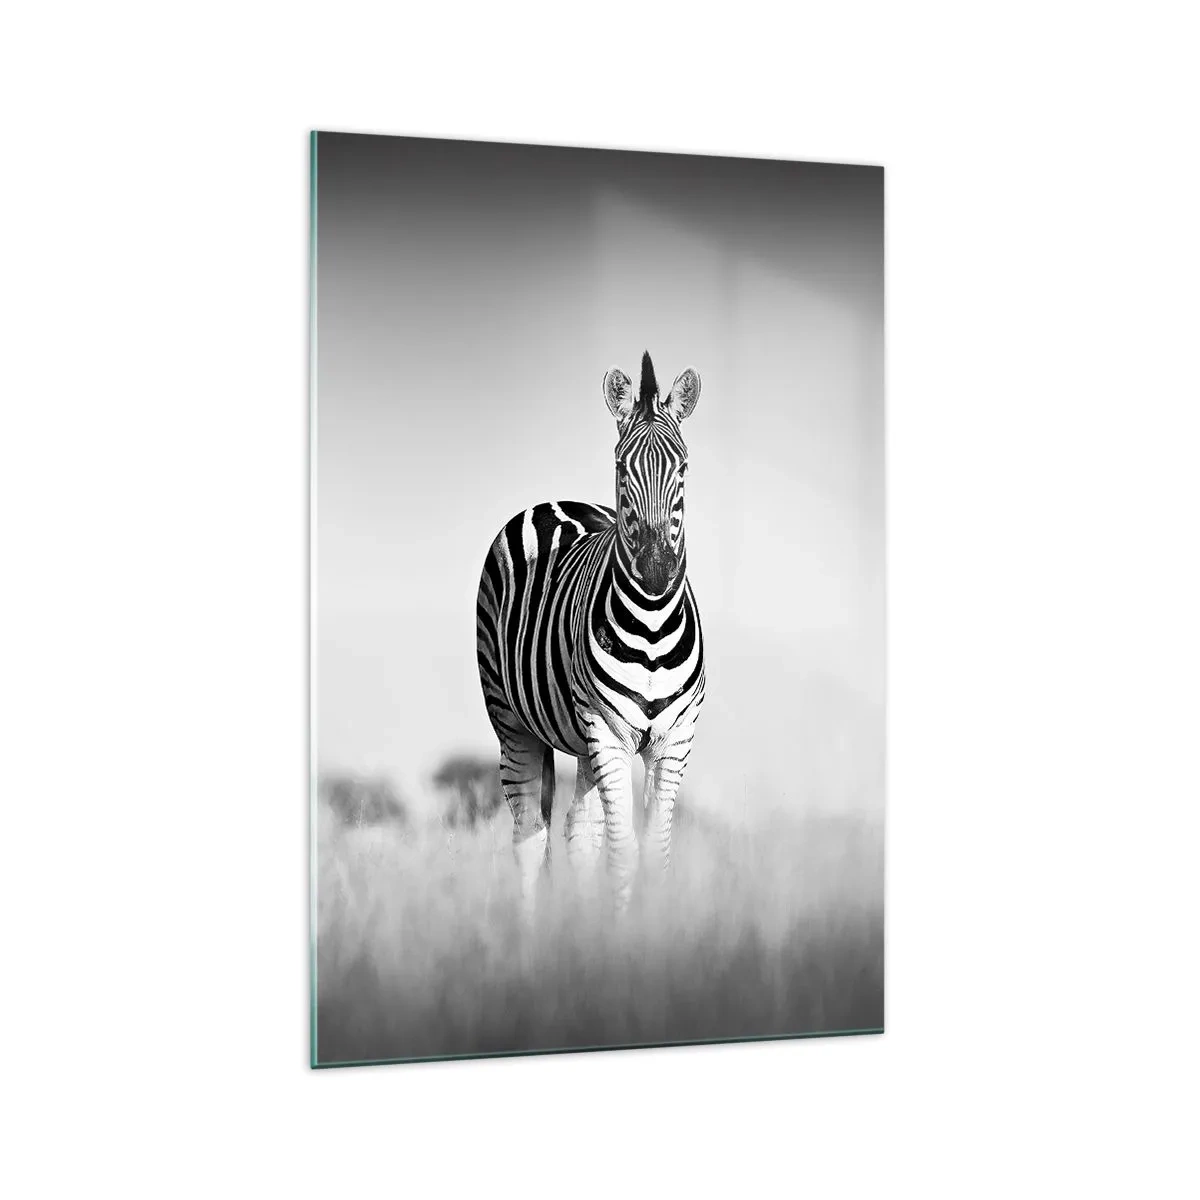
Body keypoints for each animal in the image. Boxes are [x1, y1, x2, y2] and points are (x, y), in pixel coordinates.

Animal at [475, 351, 704, 913]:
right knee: (529, 836)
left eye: (683, 466)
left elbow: (654, 852)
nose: (657, 570)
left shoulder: (675, 738)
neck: (651, 627)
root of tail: (554, 502)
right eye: (622, 467)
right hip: (511, 719)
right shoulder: (608, 730)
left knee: (578, 834)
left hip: (580, 741)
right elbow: (622, 852)